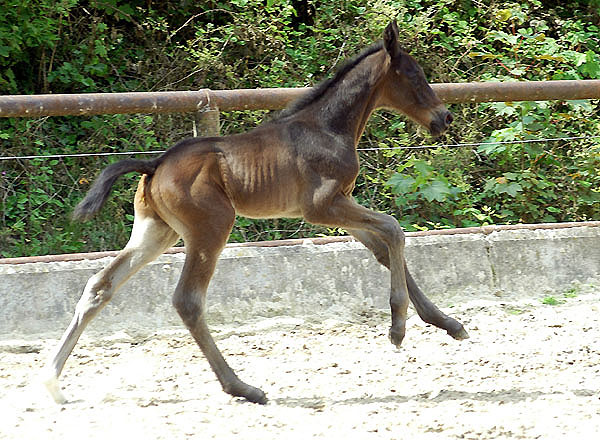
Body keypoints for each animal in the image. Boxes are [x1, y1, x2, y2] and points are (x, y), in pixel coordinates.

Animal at [45, 20, 468, 406]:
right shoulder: (322, 206)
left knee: (100, 286)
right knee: (188, 301)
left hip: (156, 232)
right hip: (211, 228)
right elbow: (394, 230)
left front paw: (448, 324)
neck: (327, 128)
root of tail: (155, 164)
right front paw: (398, 328)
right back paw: (243, 388)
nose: (444, 118)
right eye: (414, 75)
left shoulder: (340, 206)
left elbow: (383, 249)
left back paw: (51, 383)